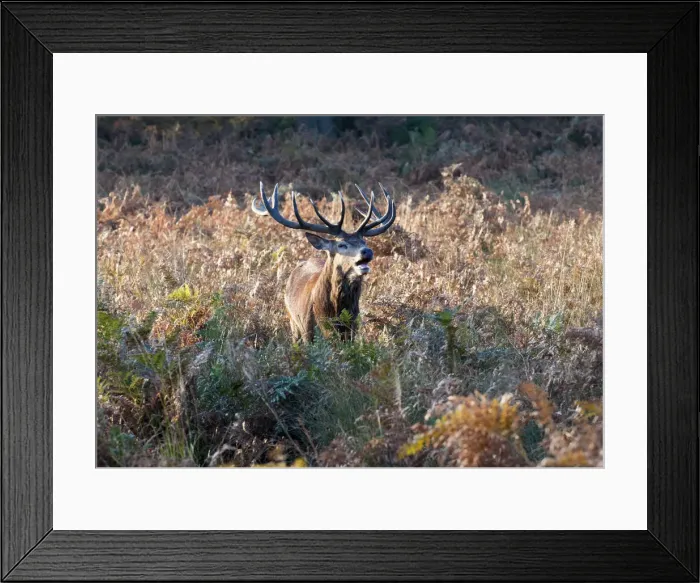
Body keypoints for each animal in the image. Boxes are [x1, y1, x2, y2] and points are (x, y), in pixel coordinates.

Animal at [252, 181, 396, 343]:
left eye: (364, 241)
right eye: (341, 245)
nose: (367, 251)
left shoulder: (352, 332)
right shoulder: (308, 332)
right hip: (292, 321)